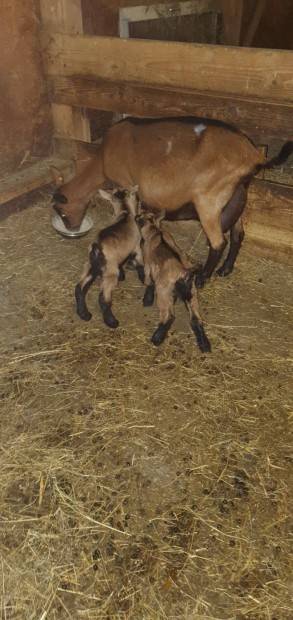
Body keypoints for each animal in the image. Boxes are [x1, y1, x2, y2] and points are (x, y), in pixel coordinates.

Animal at [51, 117, 290, 286]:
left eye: (61, 210)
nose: (71, 228)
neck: (102, 159)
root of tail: (253, 155)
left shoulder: (126, 186)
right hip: (236, 198)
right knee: (238, 234)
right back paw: (225, 270)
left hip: (209, 201)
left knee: (218, 243)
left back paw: (202, 278)